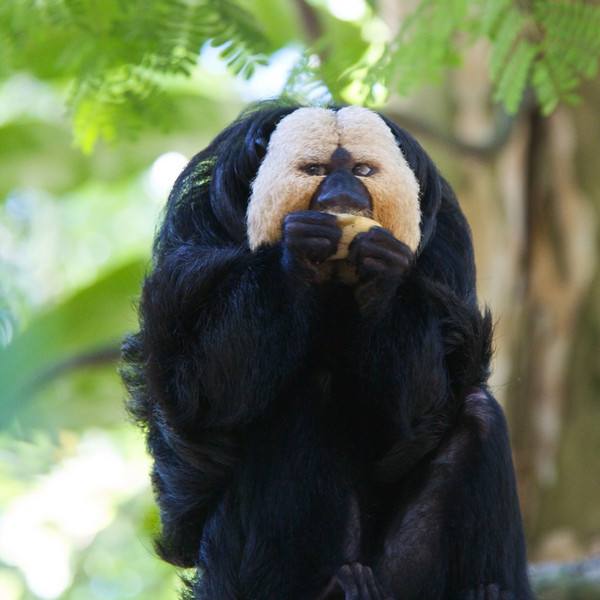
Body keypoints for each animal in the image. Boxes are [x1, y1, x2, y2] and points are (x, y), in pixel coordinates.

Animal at [120, 104, 528, 600]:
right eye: (315, 171)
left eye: (362, 171)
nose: (341, 196)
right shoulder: (192, 248)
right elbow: (199, 397)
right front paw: (298, 255)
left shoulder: (446, 258)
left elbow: (421, 414)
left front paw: (381, 273)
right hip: (229, 568)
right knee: (307, 393)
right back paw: (332, 586)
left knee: (476, 415)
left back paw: (484, 591)